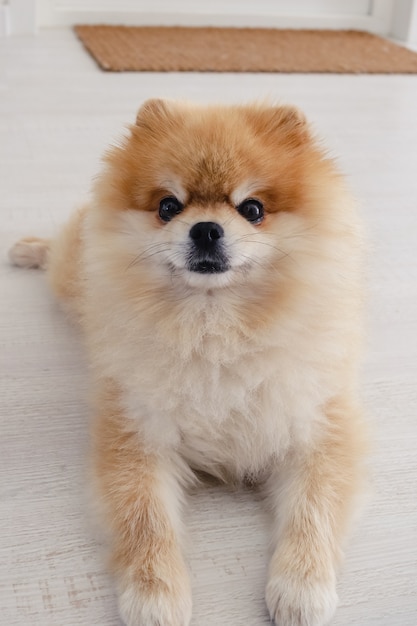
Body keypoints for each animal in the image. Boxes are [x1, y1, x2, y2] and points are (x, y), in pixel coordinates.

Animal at [8, 100, 364, 620]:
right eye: (168, 206)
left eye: (252, 209)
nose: (206, 229)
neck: (213, 328)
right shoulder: (137, 432)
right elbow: (145, 518)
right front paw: (155, 594)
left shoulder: (317, 425)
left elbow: (313, 508)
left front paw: (303, 586)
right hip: (69, 278)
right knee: (58, 254)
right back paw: (28, 249)